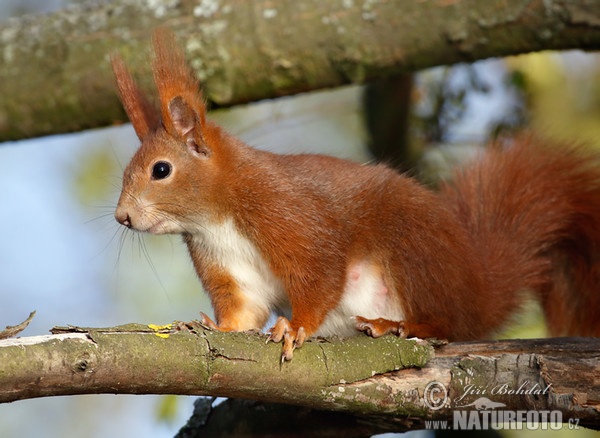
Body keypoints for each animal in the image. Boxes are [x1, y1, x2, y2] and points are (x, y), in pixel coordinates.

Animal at [111, 30, 600, 360]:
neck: (214, 218)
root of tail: (477, 288)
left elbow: (320, 274)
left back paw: (396, 325)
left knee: (449, 323)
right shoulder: (227, 266)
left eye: (160, 170)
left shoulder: (290, 214)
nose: (122, 217)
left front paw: (296, 328)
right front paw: (214, 326)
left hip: (415, 251)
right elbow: (243, 312)